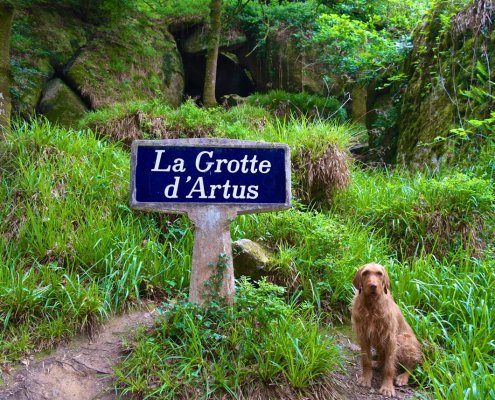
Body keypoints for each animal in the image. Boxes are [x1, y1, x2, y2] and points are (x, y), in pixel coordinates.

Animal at [352, 262, 422, 396]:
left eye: (379, 274)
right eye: (365, 273)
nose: (373, 286)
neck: (372, 305)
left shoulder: (391, 339)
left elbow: (389, 367)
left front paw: (387, 387)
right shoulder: (364, 335)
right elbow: (366, 360)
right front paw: (366, 378)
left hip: (403, 340)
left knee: (411, 365)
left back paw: (403, 377)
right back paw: (377, 363)